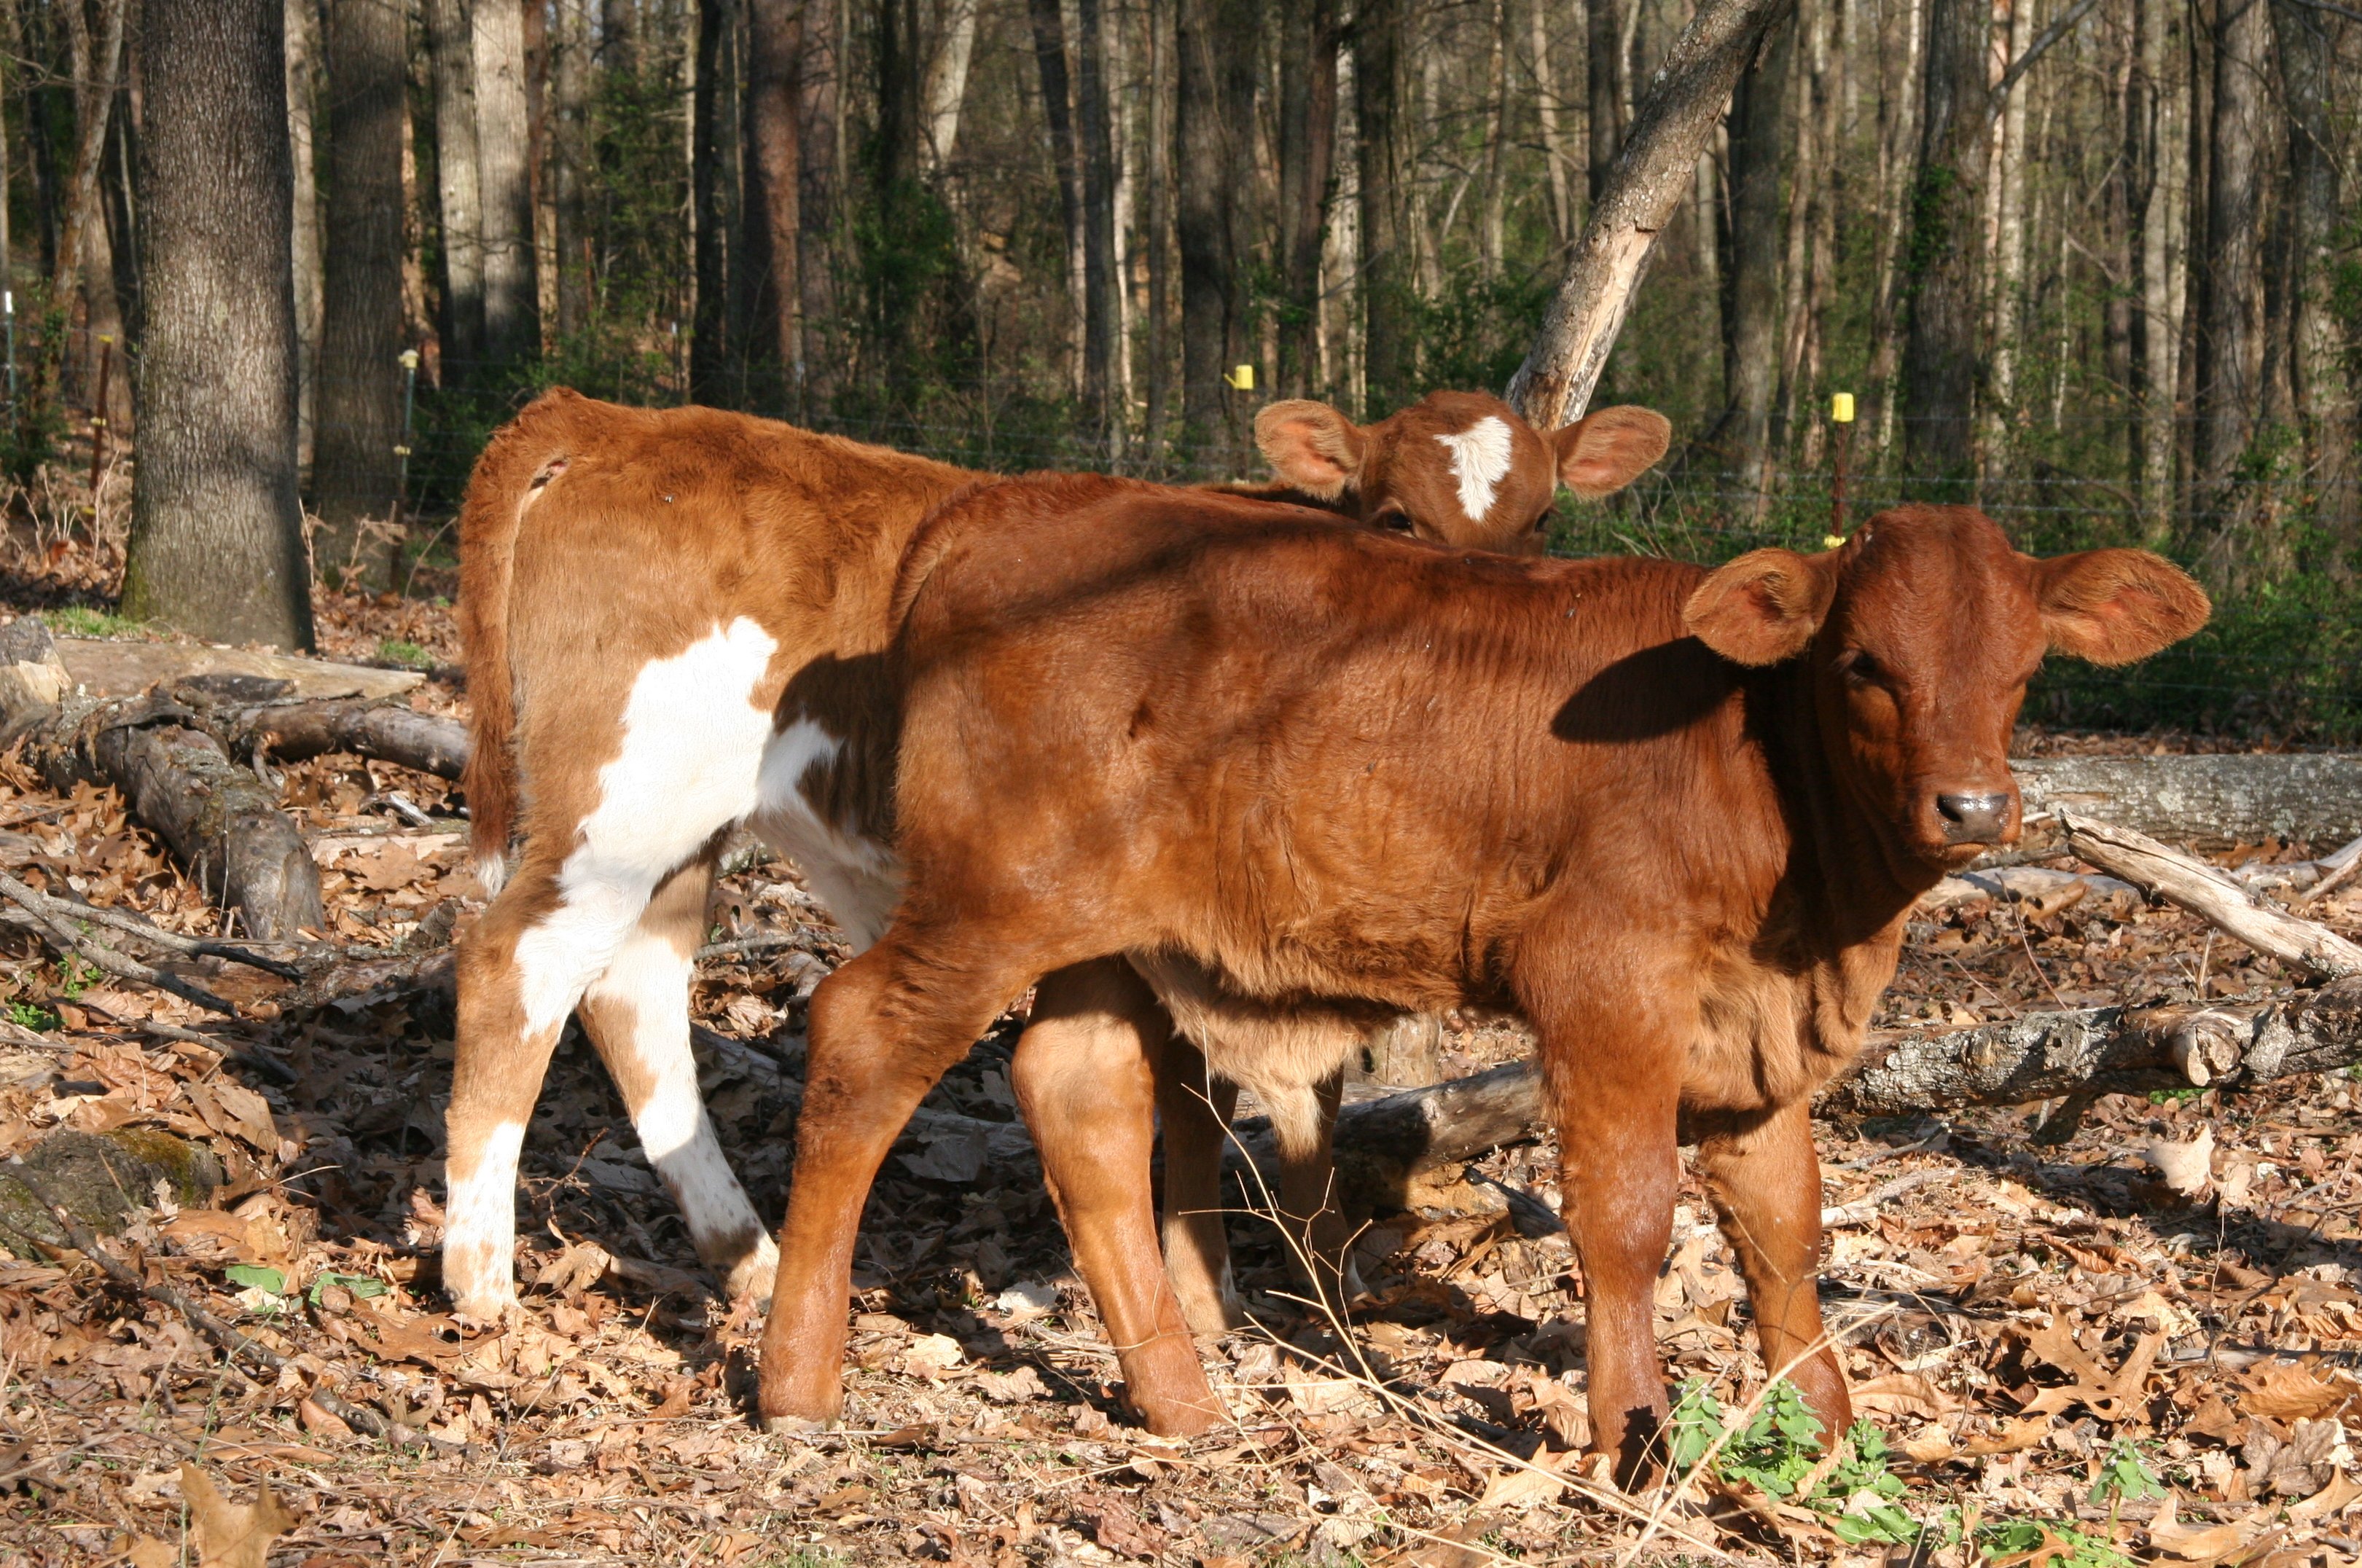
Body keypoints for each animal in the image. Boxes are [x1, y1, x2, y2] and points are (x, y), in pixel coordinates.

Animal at [756, 493, 2210, 1483]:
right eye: (1864, 663)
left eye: (2023, 667)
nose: (1973, 807)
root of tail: (1003, 513)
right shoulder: (1603, 982)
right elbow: (1626, 1218)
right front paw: (1635, 1441)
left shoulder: (1756, 1031)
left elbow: (1785, 1229)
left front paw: (1826, 1433)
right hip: (987, 902)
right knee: (862, 1040)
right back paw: (795, 1378)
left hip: (1099, 933)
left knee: (1081, 1100)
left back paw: (1180, 1402)